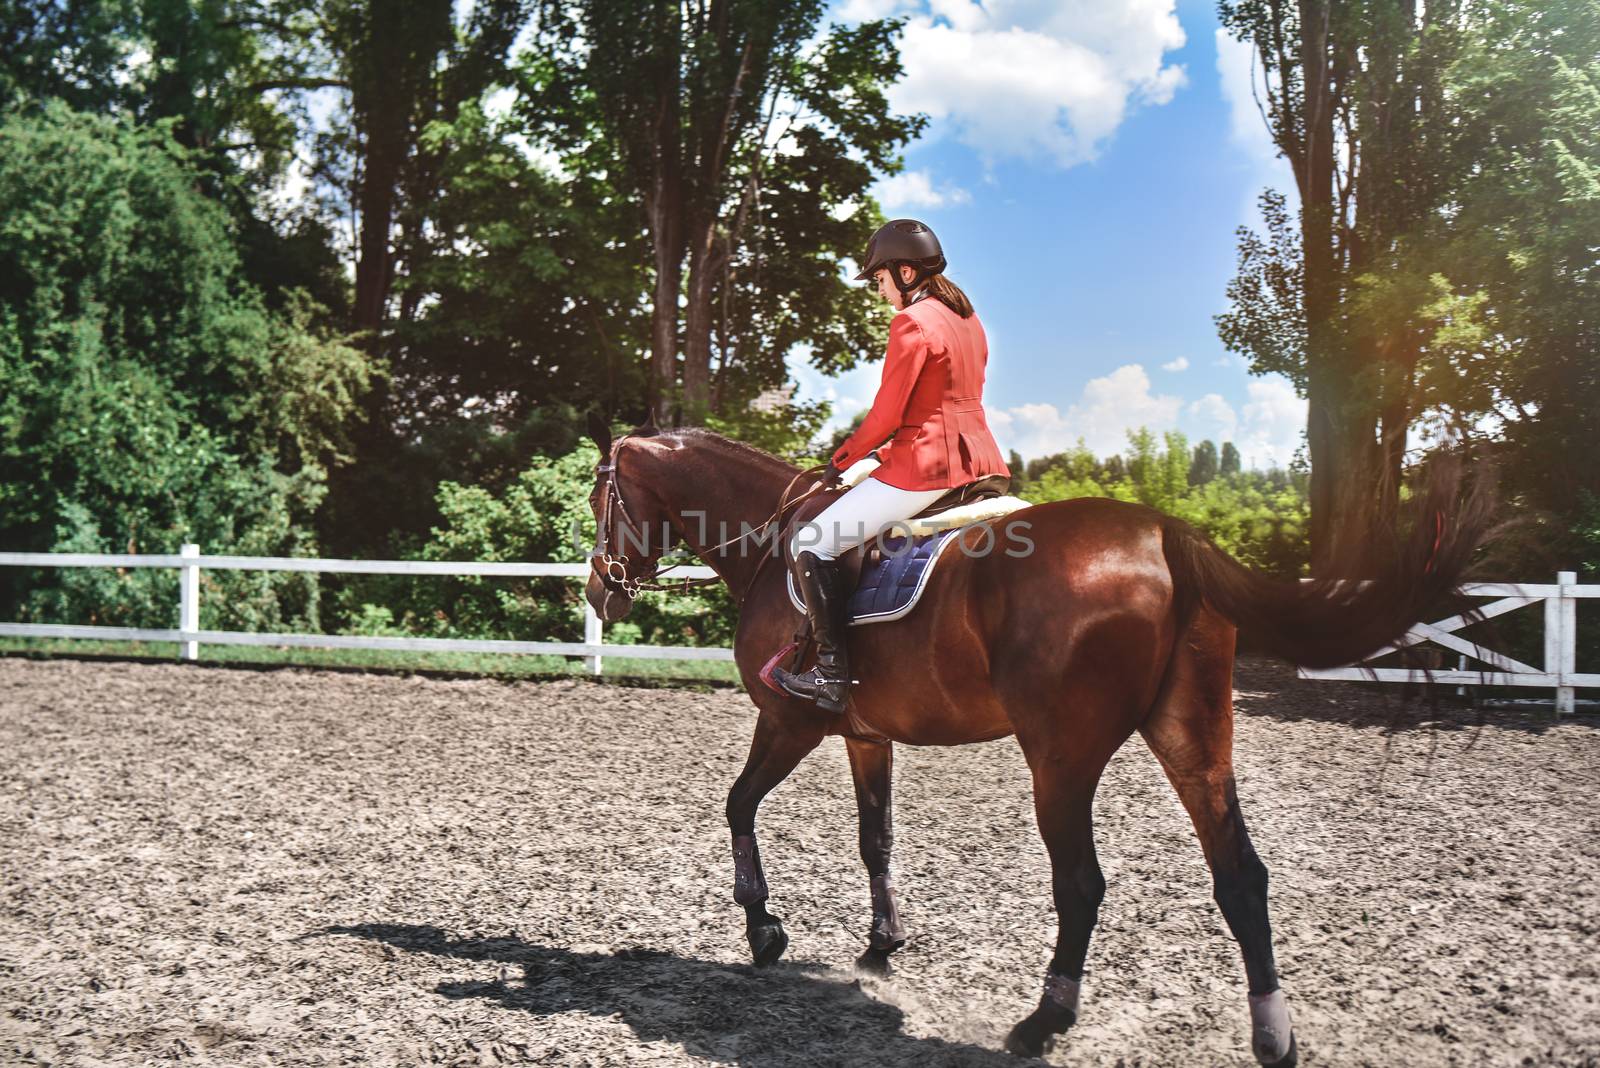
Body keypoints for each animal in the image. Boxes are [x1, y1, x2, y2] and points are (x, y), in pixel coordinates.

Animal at [582, 412, 1491, 1061]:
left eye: (601, 503)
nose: (600, 594)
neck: (775, 546)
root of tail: (1164, 532)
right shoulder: (864, 736)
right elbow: (876, 838)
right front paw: (881, 945)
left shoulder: (790, 719)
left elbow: (737, 805)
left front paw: (763, 930)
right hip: (1193, 737)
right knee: (1240, 874)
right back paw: (1273, 1036)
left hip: (1060, 756)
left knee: (1082, 883)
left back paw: (1042, 1021)